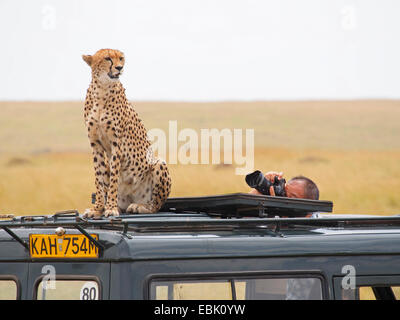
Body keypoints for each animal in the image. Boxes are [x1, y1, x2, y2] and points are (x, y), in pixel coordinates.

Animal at [82, 48, 171, 218]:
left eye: (121, 58)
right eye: (108, 58)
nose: (119, 68)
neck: (102, 88)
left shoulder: (117, 143)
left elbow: (114, 178)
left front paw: (110, 208)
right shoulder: (95, 143)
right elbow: (99, 178)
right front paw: (98, 209)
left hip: (159, 164)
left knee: (156, 205)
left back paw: (140, 207)